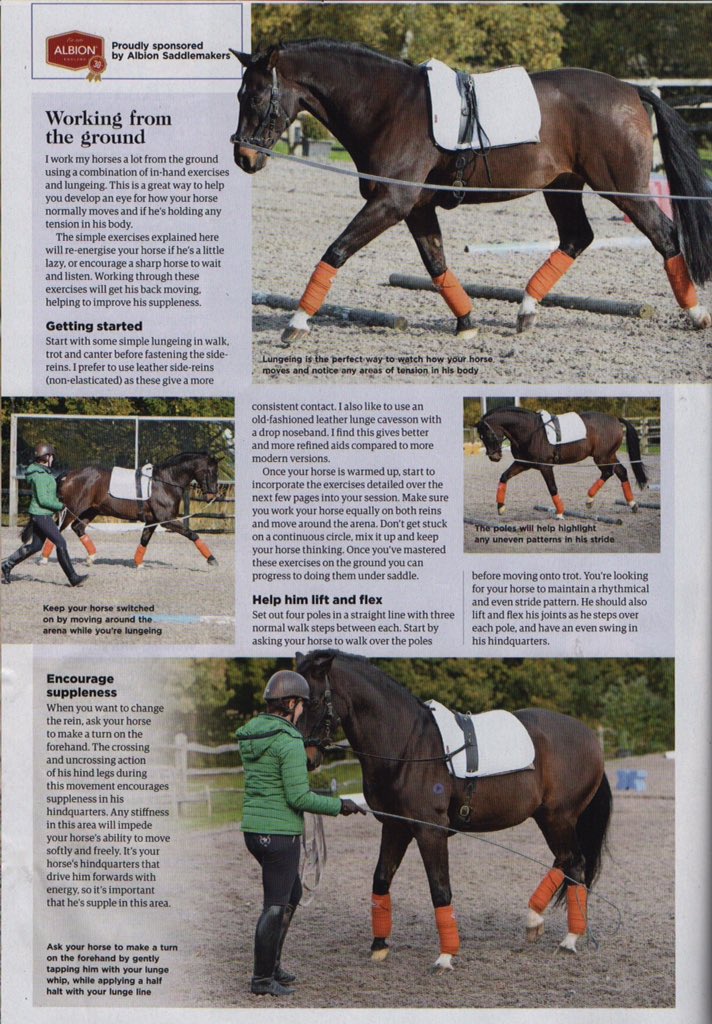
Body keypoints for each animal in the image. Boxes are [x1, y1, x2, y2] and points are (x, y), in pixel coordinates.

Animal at [36, 451, 220, 568]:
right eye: (210, 472)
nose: (212, 495)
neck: (165, 481)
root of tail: (69, 475)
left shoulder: (153, 521)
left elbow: (144, 540)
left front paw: (138, 563)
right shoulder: (166, 520)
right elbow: (192, 534)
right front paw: (212, 559)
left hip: (90, 511)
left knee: (78, 528)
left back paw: (91, 557)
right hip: (71, 510)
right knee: (58, 530)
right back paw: (44, 558)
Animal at [230, 39, 712, 344]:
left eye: (254, 97)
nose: (244, 158)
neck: (386, 107)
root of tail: (630, 89)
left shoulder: (390, 203)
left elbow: (336, 251)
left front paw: (296, 322)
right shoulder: (416, 208)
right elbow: (436, 263)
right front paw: (466, 322)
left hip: (624, 190)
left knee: (665, 236)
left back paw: (695, 314)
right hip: (562, 187)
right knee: (578, 237)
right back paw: (526, 310)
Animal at [295, 649, 612, 969]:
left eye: (313, 701)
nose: (306, 758)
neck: (407, 746)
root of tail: (589, 738)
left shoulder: (429, 830)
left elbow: (439, 888)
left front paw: (446, 956)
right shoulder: (395, 826)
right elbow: (382, 879)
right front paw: (379, 945)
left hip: (558, 818)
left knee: (574, 863)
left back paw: (569, 939)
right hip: (549, 818)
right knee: (565, 860)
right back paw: (535, 920)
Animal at [475, 408, 648, 518]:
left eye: (488, 434)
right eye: (481, 437)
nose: (494, 456)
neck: (530, 431)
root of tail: (615, 419)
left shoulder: (545, 466)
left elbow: (552, 487)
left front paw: (559, 512)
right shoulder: (523, 464)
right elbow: (504, 477)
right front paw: (500, 508)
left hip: (602, 457)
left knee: (608, 472)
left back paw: (590, 500)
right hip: (608, 456)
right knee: (621, 472)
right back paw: (631, 504)